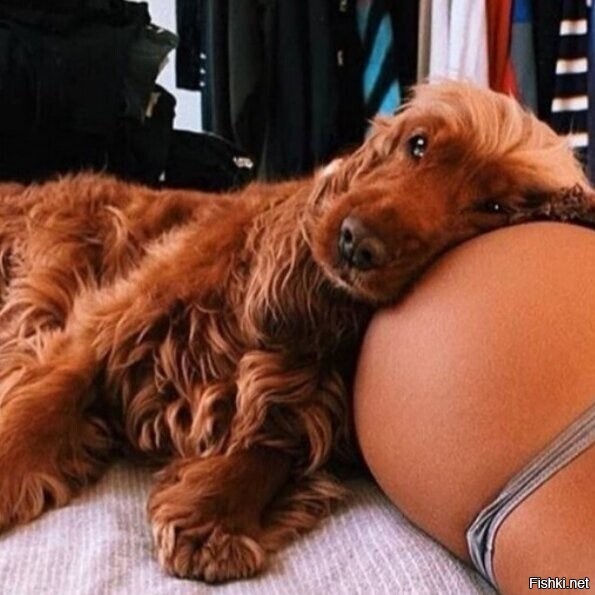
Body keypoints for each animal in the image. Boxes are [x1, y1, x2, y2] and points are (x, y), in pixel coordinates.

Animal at [0, 82, 591, 583]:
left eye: (492, 207)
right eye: (418, 144)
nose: (357, 243)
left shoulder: (303, 397)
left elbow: (270, 445)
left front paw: (214, 516)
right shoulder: (106, 326)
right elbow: (39, 411)